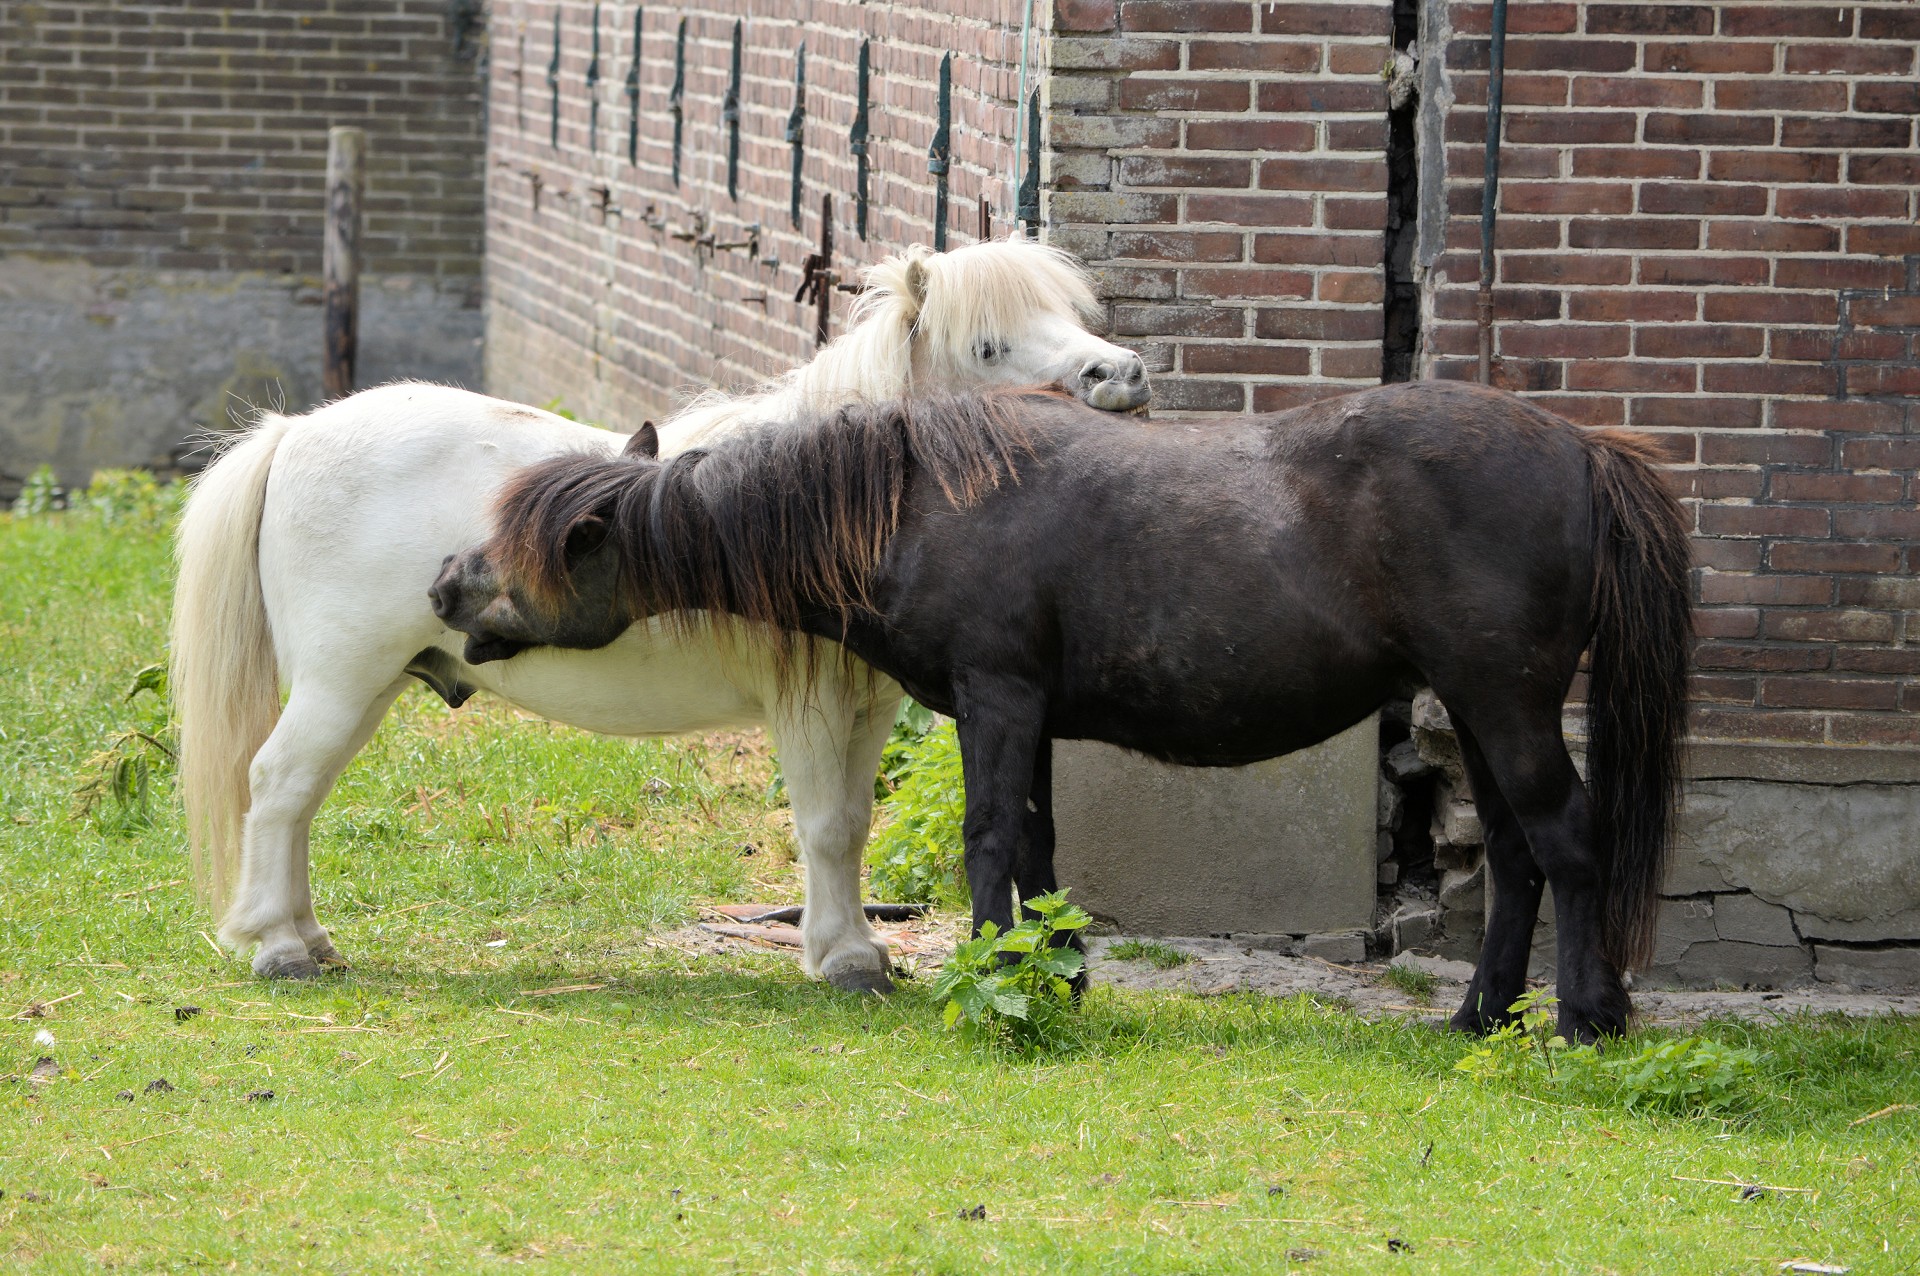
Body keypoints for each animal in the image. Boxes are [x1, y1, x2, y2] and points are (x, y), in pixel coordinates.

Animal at [172, 241, 1144, 997]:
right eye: (988, 345)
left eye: (1070, 313)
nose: (1122, 375)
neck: (811, 502)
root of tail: (294, 433)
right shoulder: (809, 709)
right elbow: (826, 826)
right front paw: (845, 962)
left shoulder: (864, 709)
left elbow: (855, 823)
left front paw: (856, 949)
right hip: (342, 681)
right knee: (278, 786)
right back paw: (278, 947)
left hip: (367, 687)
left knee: (298, 798)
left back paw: (307, 937)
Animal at [439, 383, 1697, 1043]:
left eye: (543, 546)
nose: (447, 582)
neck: (914, 502)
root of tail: (1581, 447)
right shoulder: (1024, 713)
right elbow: (1039, 846)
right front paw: (1053, 972)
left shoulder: (995, 699)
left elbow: (991, 838)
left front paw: (996, 978)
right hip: (1480, 712)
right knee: (1518, 859)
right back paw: (1480, 1013)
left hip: (1508, 706)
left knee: (1568, 844)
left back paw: (1588, 1017)